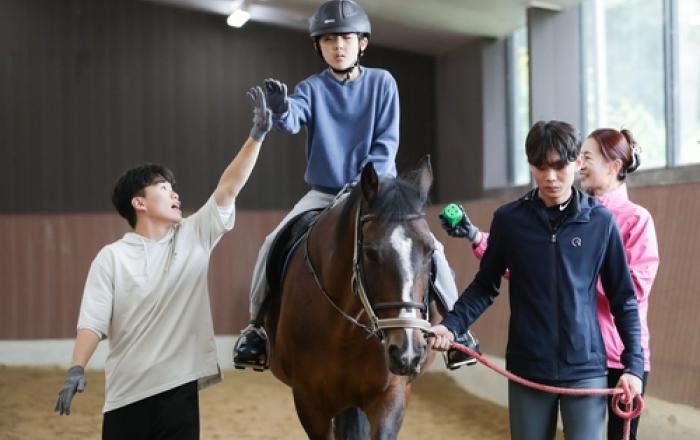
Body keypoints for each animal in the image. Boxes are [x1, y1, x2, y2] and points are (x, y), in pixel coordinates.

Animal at [262, 157, 445, 439]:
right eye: (369, 252)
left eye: (430, 250)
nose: (407, 353)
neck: (346, 328)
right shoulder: (309, 402)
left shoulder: (390, 395)